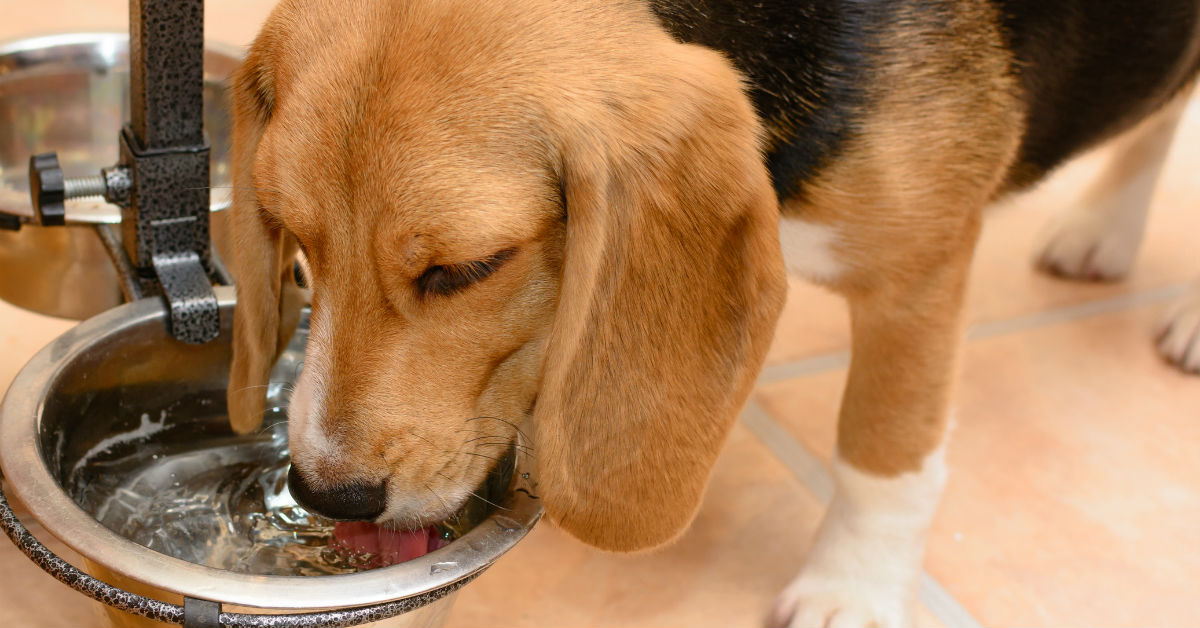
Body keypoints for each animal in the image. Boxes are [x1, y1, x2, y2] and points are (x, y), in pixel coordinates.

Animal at [226, 2, 1200, 624]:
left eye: (465, 269)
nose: (325, 493)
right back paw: (1105, 228)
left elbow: (884, 454)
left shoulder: (919, 275)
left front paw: (854, 589)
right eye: (296, 243)